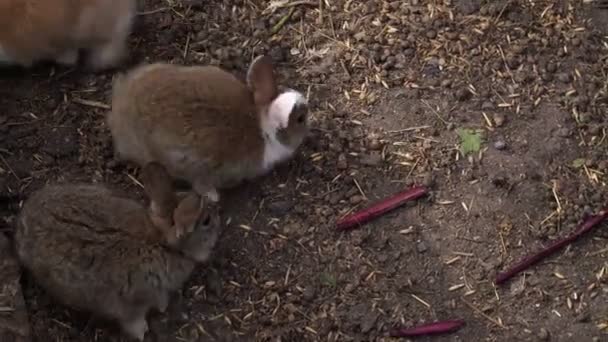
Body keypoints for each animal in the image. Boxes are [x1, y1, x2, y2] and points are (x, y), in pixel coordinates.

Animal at [14, 162, 222, 340]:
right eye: (206, 221)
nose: (218, 221)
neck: (162, 243)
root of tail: (21, 227)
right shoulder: (133, 301)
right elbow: (133, 318)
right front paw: (142, 330)